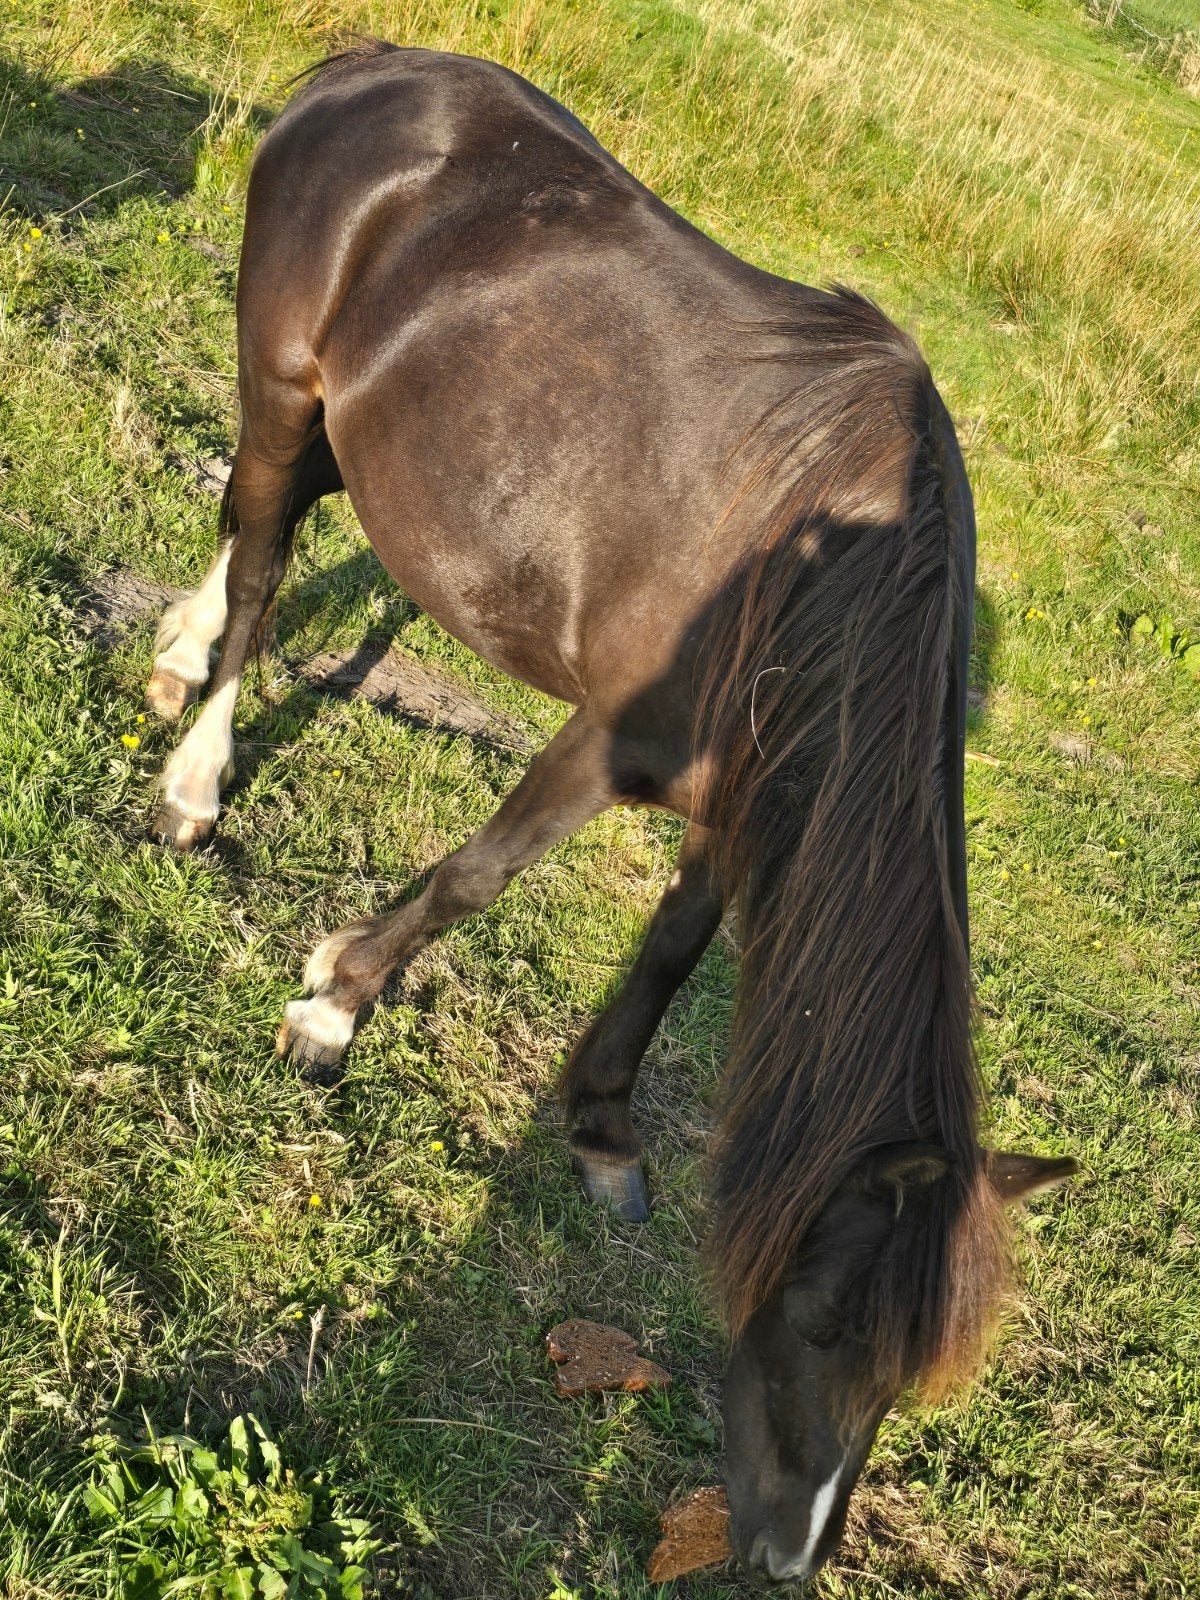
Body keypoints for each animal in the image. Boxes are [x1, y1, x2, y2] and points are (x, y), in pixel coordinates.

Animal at [145, 40, 1077, 1586]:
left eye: (905, 1378)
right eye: (823, 1319)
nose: (785, 1556)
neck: (821, 572)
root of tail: (369, 67)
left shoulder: (740, 802)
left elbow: (673, 949)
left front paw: (599, 1128)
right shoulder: (610, 738)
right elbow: (478, 875)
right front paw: (334, 1002)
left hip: (342, 412)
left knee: (258, 518)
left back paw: (174, 653)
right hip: (280, 376)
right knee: (268, 551)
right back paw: (193, 777)